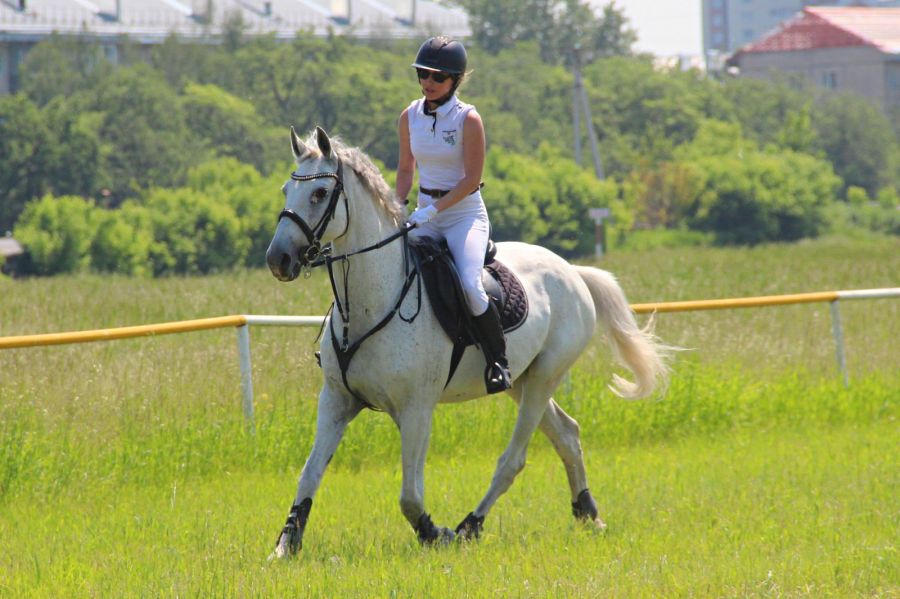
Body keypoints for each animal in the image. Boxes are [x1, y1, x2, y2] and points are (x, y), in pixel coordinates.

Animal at [264, 126, 672, 556]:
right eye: (286, 190)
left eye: (319, 194)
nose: (278, 260)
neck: (368, 304)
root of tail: (572, 271)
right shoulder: (336, 401)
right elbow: (309, 475)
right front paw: (286, 544)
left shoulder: (416, 409)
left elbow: (410, 496)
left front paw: (433, 533)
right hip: (521, 382)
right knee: (567, 434)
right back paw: (587, 512)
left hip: (544, 378)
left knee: (514, 459)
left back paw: (469, 525)